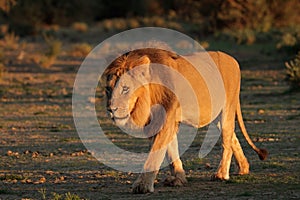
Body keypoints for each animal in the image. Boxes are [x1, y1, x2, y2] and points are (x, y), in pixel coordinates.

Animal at [103, 48, 268, 194]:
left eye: (125, 88)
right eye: (107, 89)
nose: (111, 109)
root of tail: (233, 60)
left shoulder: (165, 120)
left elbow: (155, 155)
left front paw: (142, 186)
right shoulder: (160, 123)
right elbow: (171, 151)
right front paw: (179, 178)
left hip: (227, 108)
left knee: (226, 141)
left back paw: (221, 174)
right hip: (215, 116)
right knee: (232, 136)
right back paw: (243, 168)